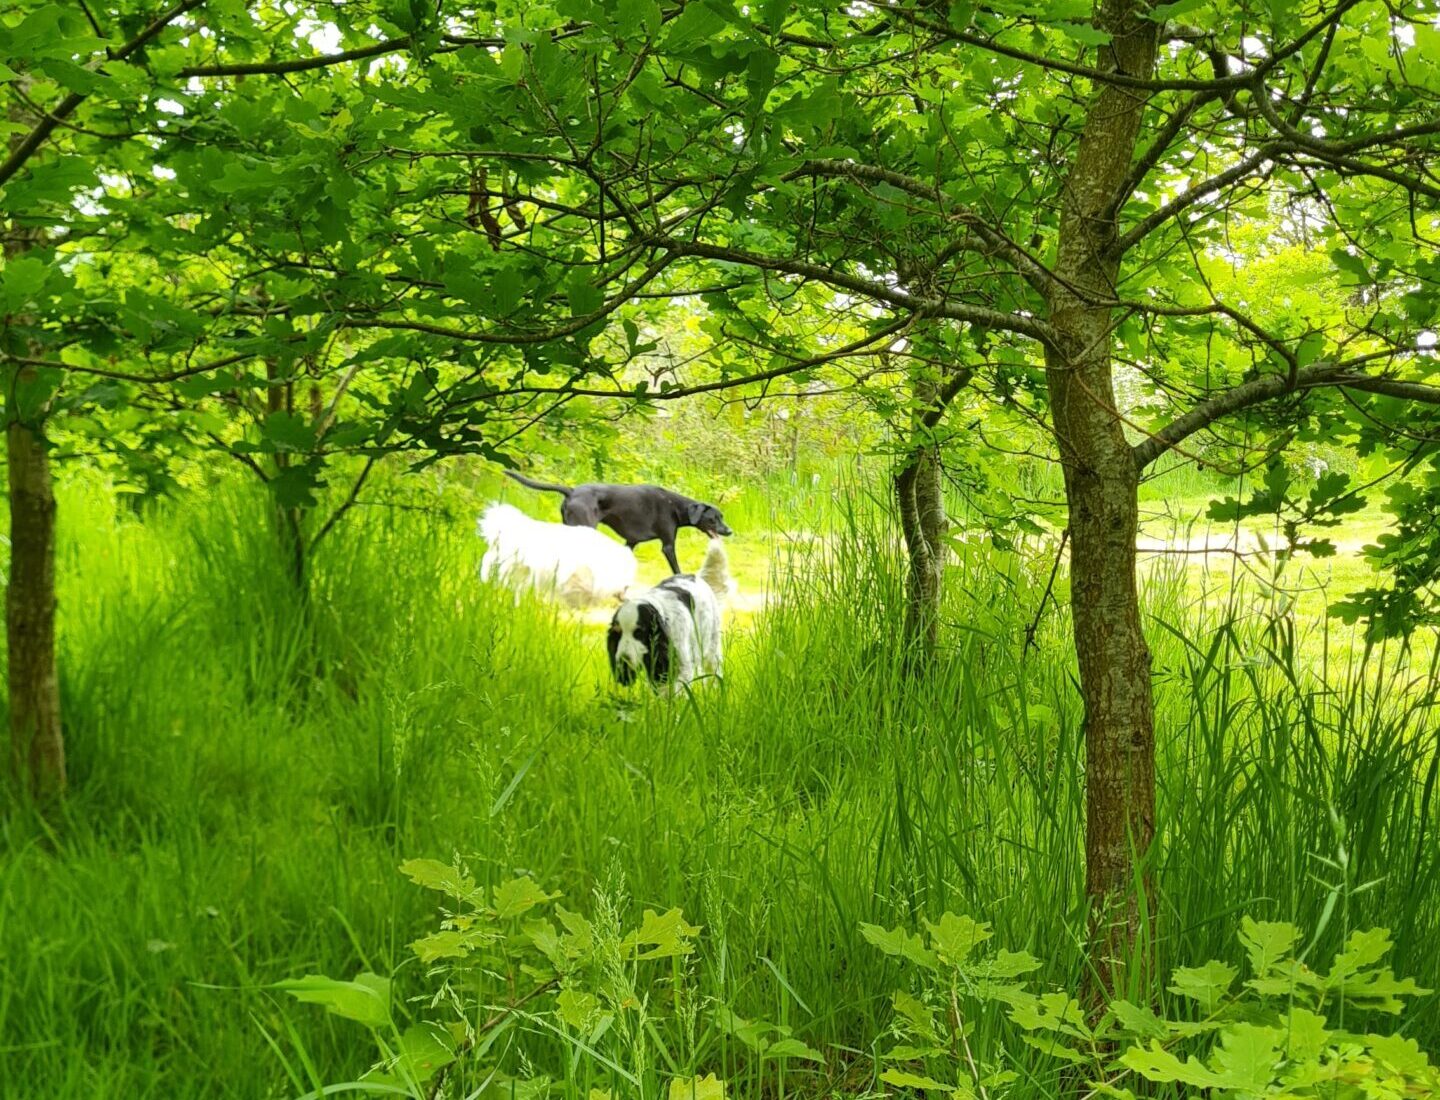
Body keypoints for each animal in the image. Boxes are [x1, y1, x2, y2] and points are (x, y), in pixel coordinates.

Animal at [506, 472, 731, 575]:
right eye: (714, 518)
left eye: (722, 516)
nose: (729, 531)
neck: (674, 505)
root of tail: (572, 491)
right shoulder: (667, 545)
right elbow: (677, 568)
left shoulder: (630, 542)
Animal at [607, 538, 731, 691]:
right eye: (617, 634)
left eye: (639, 632)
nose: (623, 660)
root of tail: (697, 577)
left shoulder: (682, 665)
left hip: (712, 648)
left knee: (714, 671)